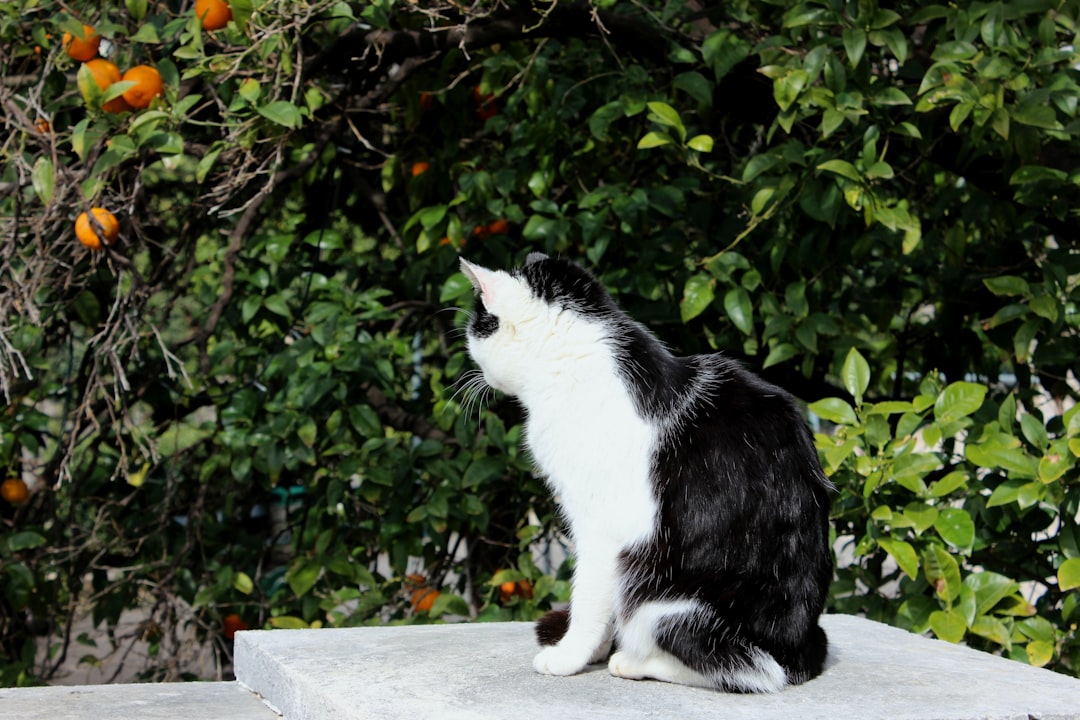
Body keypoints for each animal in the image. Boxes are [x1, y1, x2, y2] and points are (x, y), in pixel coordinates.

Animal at [460, 253, 829, 690]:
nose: (480, 376)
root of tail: (800, 651)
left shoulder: (604, 529)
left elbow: (588, 598)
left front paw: (570, 656)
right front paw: (595, 651)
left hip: (667, 601)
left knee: (748, 670)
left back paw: (634, 661)